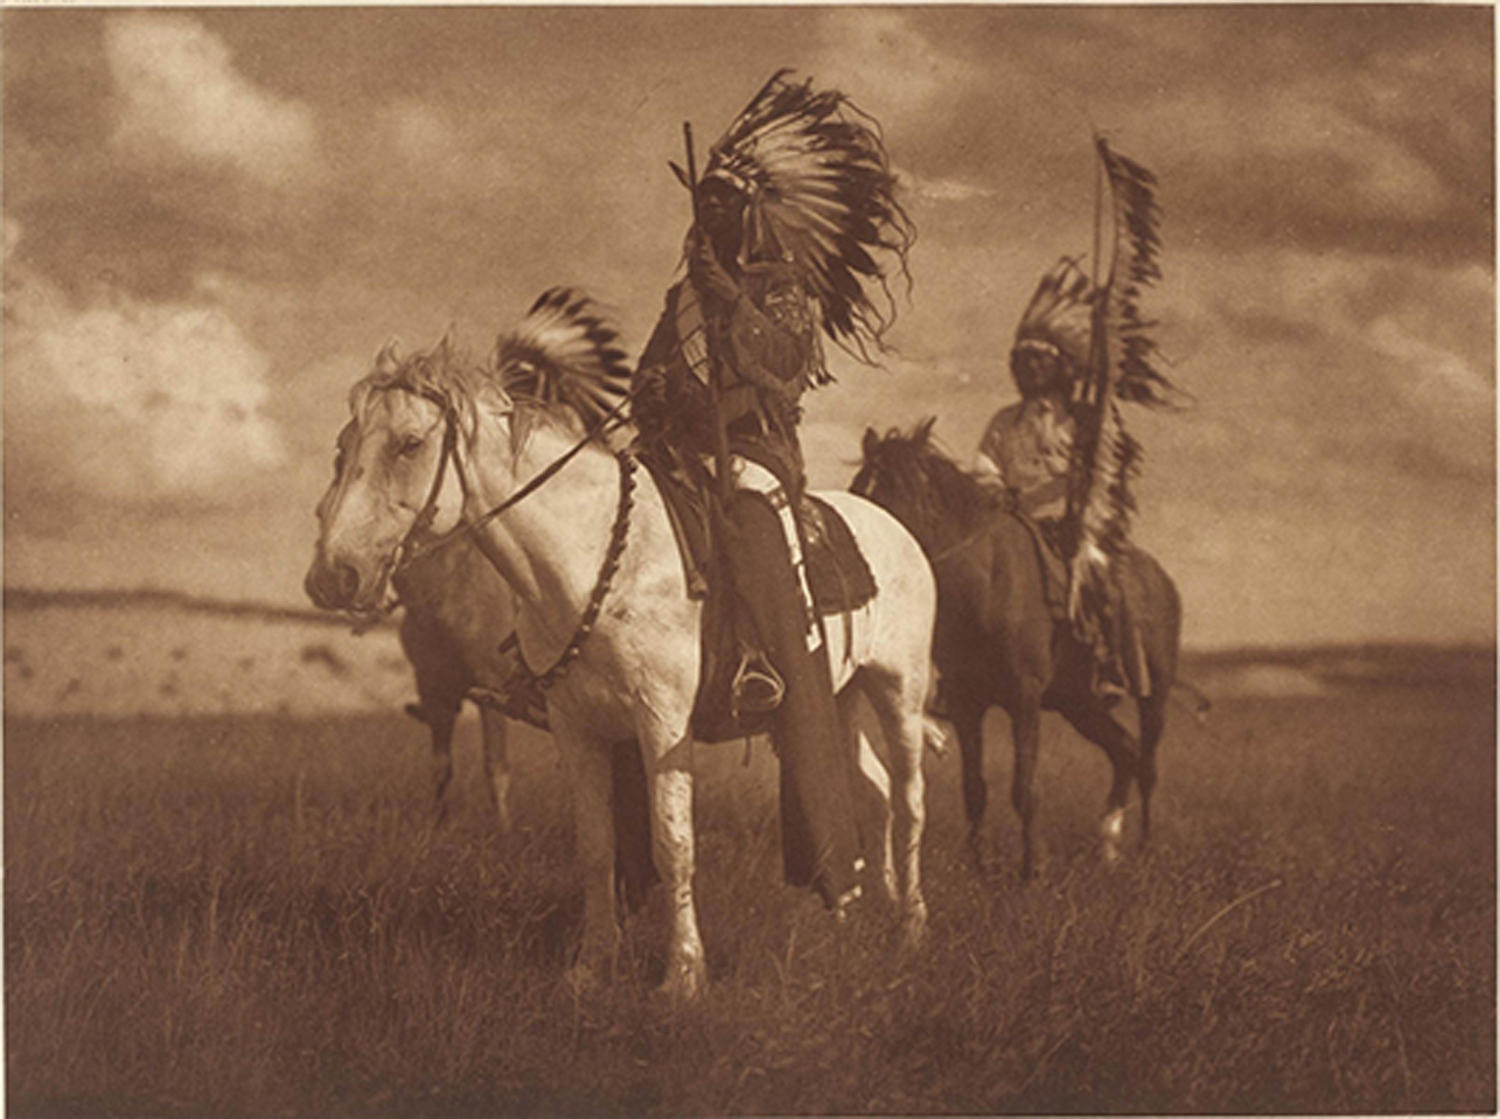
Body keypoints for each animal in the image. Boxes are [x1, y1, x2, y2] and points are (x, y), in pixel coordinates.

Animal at [304, 325, 936, 1002]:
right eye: (344, 445)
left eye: (410, 444)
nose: (333, 575)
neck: (595, 562)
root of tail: (893, 527)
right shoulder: (578, 729)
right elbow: (595, 846)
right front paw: (592, 964)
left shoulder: (661, 725)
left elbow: (673, 845)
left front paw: (683, 975)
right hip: (841, 700)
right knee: (870, 790)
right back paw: (860, 911)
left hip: (898, 693)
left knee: (909, 801)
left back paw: (910, 927)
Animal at [858, 423, 1182, 876]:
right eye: (858, 488)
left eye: (894, 491)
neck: (986, 587)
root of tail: (1161, 580)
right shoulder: (967, 705)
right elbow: (974, 788)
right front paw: (980, 868)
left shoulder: (1023, 699)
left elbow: (1024, 788)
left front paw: (1032, 870)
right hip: (1079, 704)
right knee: (1125, 752)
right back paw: (1108, 849)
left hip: (1156, 695)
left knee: (1148, 765)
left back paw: (1144, 850)